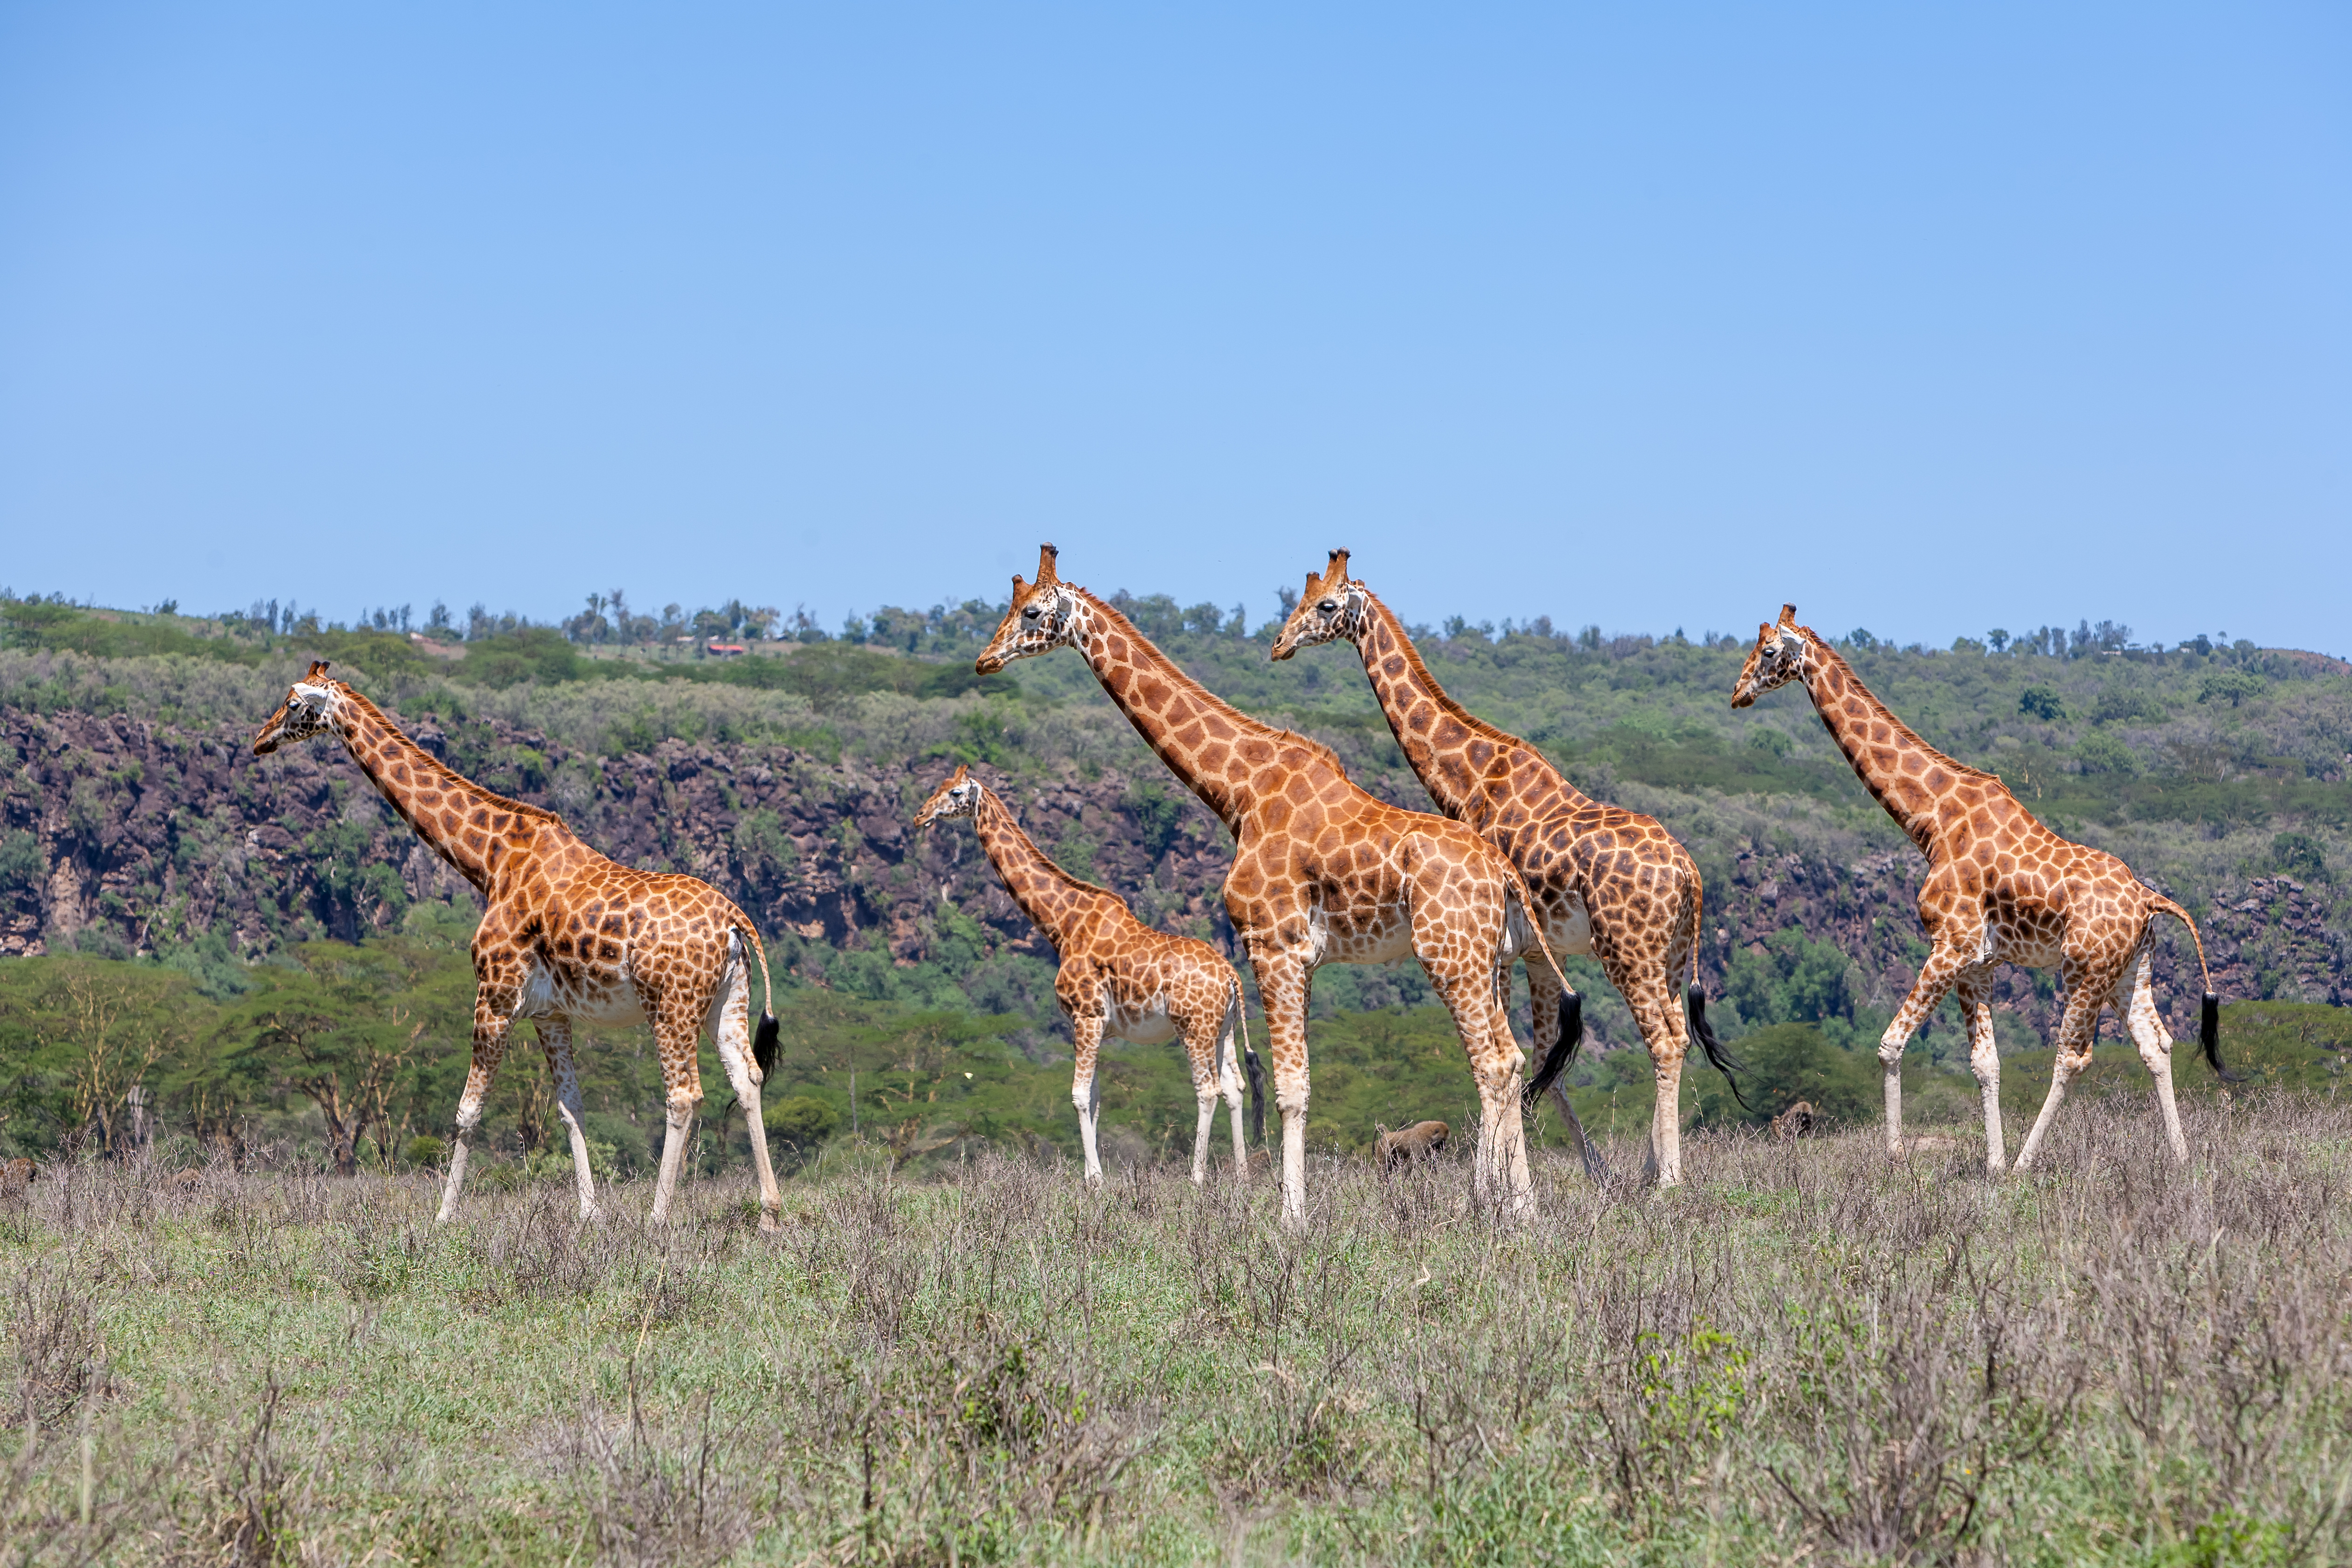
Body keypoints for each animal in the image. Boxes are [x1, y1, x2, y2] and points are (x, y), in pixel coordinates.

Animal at [255, 658, 790, 1222]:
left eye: (294, 704)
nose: (260, 740)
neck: (490, 861)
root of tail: (734, 919)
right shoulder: (549, 1012)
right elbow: (571, 1108)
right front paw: (589, 1215)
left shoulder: (494, 993)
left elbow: (468, 1111)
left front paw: (442, 1217)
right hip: (726, 1000)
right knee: (748, 1079)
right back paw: (770, 1215)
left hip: (671, 1003)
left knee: (684, 1095)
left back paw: (657, 1219)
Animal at [907, 766, 1270, 1185]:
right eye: (937, 787)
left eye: (954, 793)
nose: (919, 816)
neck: (1062, 926)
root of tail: (1231, 976)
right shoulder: (1090, 1026)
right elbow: (1094, 1097)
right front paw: (1090, 1176)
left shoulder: (1087, 1017)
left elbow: (1079, 1096)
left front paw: (1094, 1179)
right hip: (1222, 1028)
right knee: (1234, 1087)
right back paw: (1241, 1177)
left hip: (1192, 1026)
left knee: (1208, 1090)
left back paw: (1196, 1179)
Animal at [969, 545, 1561, 1222]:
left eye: (1031, 612)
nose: (985, 659)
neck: (1240, 791)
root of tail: (1505, 872)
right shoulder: (1300, 956)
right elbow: (1294, 1084)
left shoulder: (1272, 945)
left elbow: (1289, 1090)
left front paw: (1290, 1217)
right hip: (1490, 958)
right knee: (1510, 1059)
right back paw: (1520, 1208)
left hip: (1449, 954)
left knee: (1492, 1062)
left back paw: (1497, 1208)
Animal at [1270, 545, 1750, 1185]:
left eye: (1325, 605)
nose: (1280, 644)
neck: (1471, 777)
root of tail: (1690, 872)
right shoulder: (1535, 951)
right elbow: (1545, 1061)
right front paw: (1592, 1177)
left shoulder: (1495, 944)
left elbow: (1509, 1059)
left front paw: (1493, 1182)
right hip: (1670, 953)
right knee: (1676, 1036)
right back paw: (1650, 1171)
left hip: (1627, 948)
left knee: (1666, 1040)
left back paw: (1666, 1182)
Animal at [1731, 606, 2220, 1171]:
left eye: (1769, 652)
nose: (1737, 694)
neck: (1930, 820)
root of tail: (2148, 899)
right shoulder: (1977, 963)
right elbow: (1986, 1062)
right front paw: (1992, 1164)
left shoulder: (1951, 945)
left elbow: (1891, 1044)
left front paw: (1898, 1159)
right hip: (2130, 971)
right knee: (2155, 1045)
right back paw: (2181, 1158)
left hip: (2084, 970)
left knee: (2074, 1057)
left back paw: (2029, 1163)